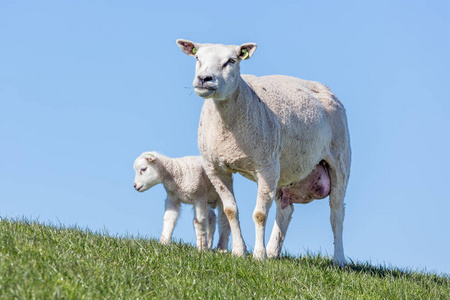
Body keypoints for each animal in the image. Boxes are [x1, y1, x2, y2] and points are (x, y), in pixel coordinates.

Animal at [176, 39, 352, 264]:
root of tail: (326, 90)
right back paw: (273, 251)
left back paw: (339, 259)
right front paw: (239, 251)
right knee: (285, 210)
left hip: (339, 160)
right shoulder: (215, 167)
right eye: (198, 58)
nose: (204, 79)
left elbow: (259, 214)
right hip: (282, 169)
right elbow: (230, 210)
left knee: (336, 213)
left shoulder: (265, 167)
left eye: (231, 60)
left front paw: (259, 256)